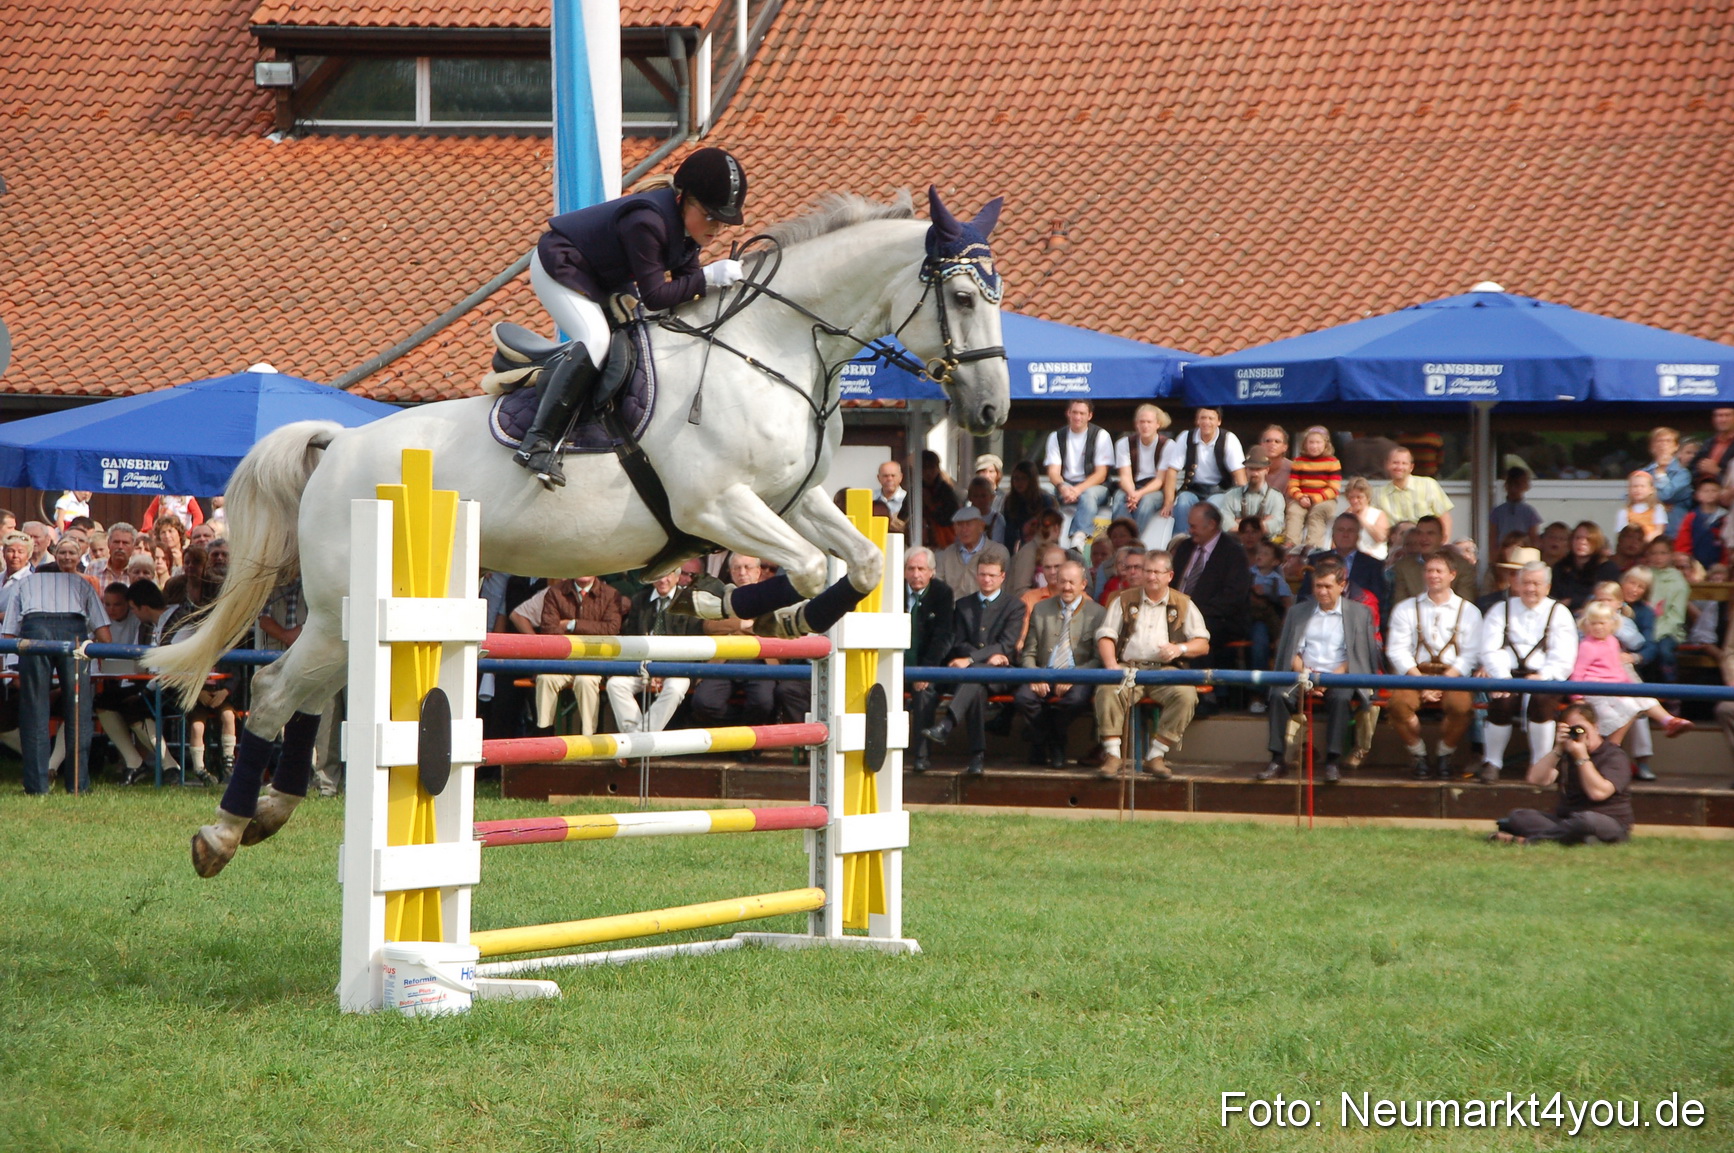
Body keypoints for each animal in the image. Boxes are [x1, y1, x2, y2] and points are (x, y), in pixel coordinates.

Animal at [149, 186, 1010, 877]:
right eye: (967, 297)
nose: (993, 409)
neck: (773, 350)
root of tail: (338, 446)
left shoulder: (790, 499)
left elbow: (862, 562)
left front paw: (717, 605)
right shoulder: (716, 506)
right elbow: (803, 568)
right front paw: (758, 610)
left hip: (349, 613)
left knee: (303, 695)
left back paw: (267, 813)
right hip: (340, 607)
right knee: (275, 690)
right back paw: (222, 833)